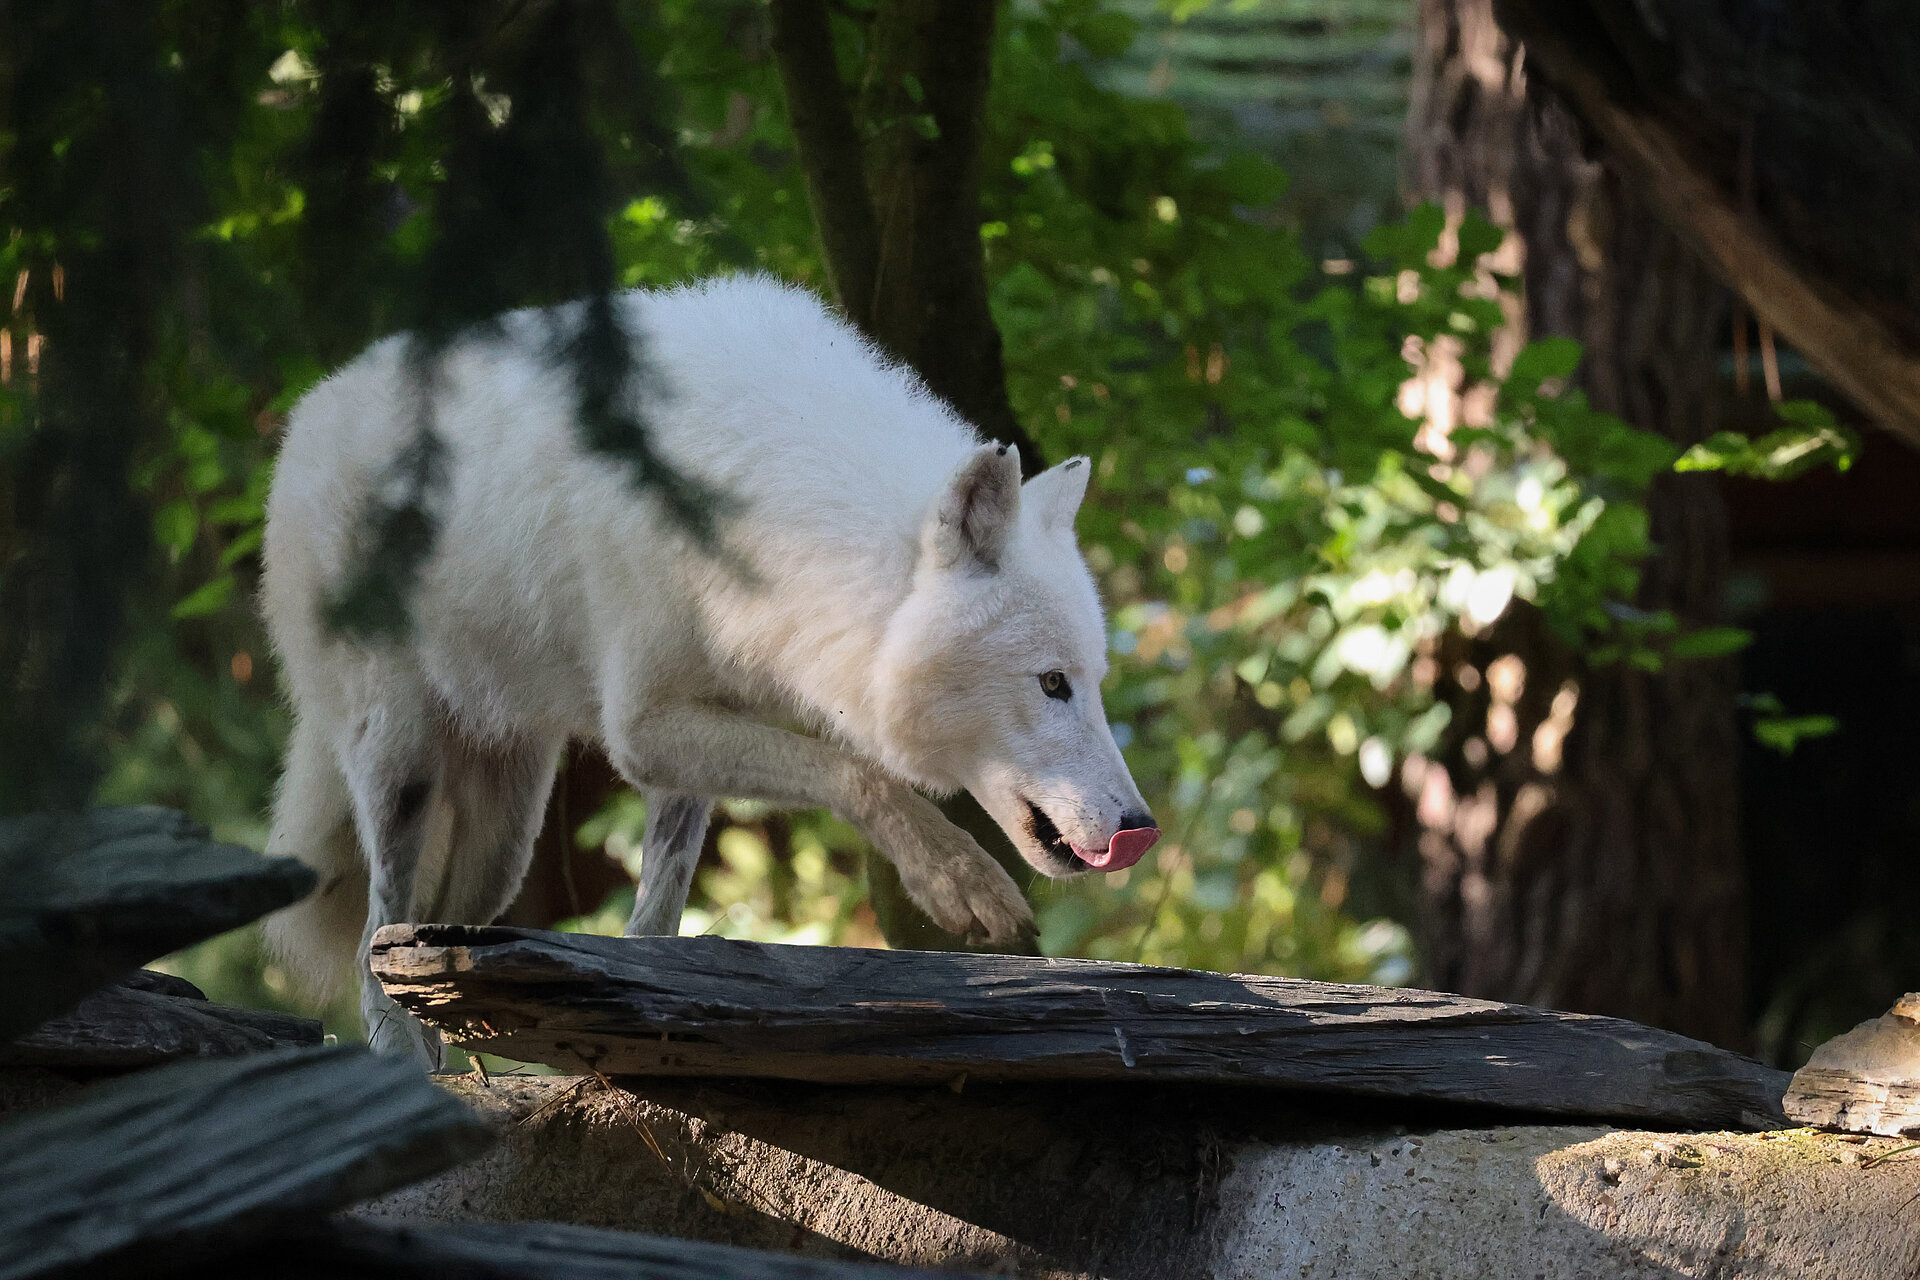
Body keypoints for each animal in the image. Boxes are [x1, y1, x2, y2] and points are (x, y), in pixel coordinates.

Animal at [255, 276, 1152, 1066]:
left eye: (1093, 679)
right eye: (1051, 683)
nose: (1140, 826)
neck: (774, 521)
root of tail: (308, 415)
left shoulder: (698, 726)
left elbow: (658, 916)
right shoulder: (642, 728)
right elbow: (859, 774)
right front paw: (957, 878)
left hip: (505, 836)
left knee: (426, 935)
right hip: (402, 760)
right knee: (375, 937)